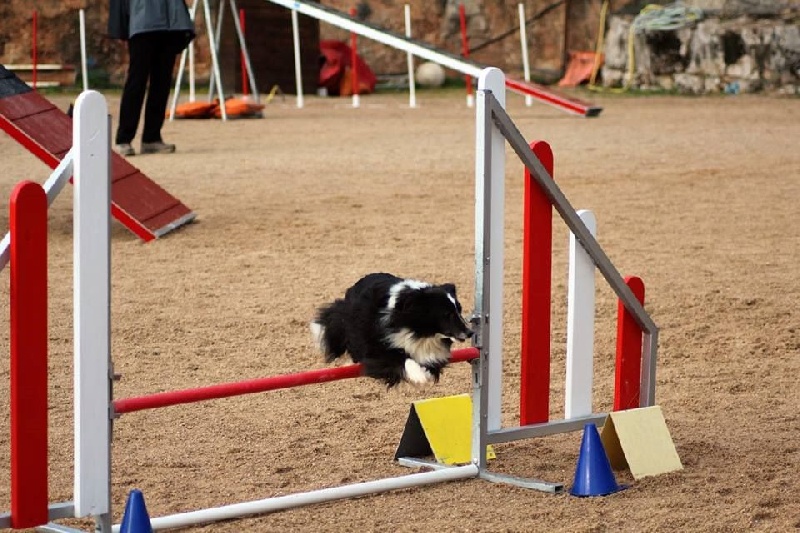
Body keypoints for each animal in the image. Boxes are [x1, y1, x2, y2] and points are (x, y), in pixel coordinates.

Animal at [310, 274, 476, 386]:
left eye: (459, 311)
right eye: (447, 314)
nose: (470, 333)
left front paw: (426, 372)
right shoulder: (376, 348)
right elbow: (400, 359)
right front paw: (419, 376)